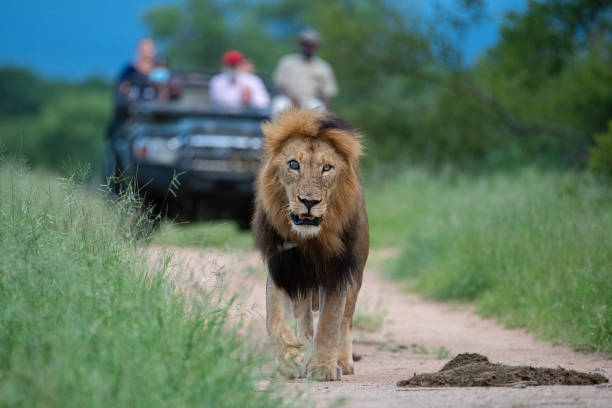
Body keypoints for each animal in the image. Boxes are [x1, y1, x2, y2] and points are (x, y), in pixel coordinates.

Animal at [252, 107, 368, 380]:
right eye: (294, 164)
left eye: (327, 168)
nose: (309, 201)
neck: (309, 241)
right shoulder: (282, 270)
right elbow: (274, 318)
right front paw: (289, 355)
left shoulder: (337, 273)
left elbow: (329, 323)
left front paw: (323, 368)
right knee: (303, 318)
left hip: (356, 277)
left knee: (346, 319)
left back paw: (343, 361)